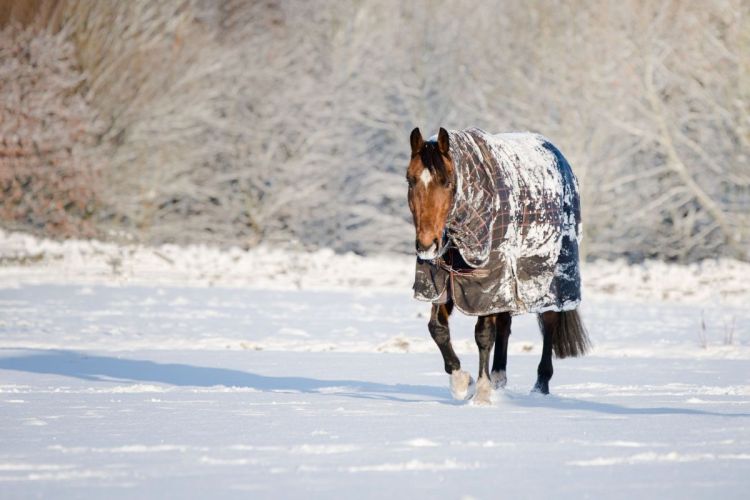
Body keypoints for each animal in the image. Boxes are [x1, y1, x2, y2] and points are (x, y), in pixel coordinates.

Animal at [406, 127, 592, 404]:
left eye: (447, 182)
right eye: (410, 180)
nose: (427, 244)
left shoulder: (487, 283)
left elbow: (483, 335)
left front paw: (482, 393)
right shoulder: (441, 282)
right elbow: (437, 329)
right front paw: (462, 382)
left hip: (549, 280)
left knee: (548, 323)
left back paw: (540, 385)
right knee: (505, 325)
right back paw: (499, 379)